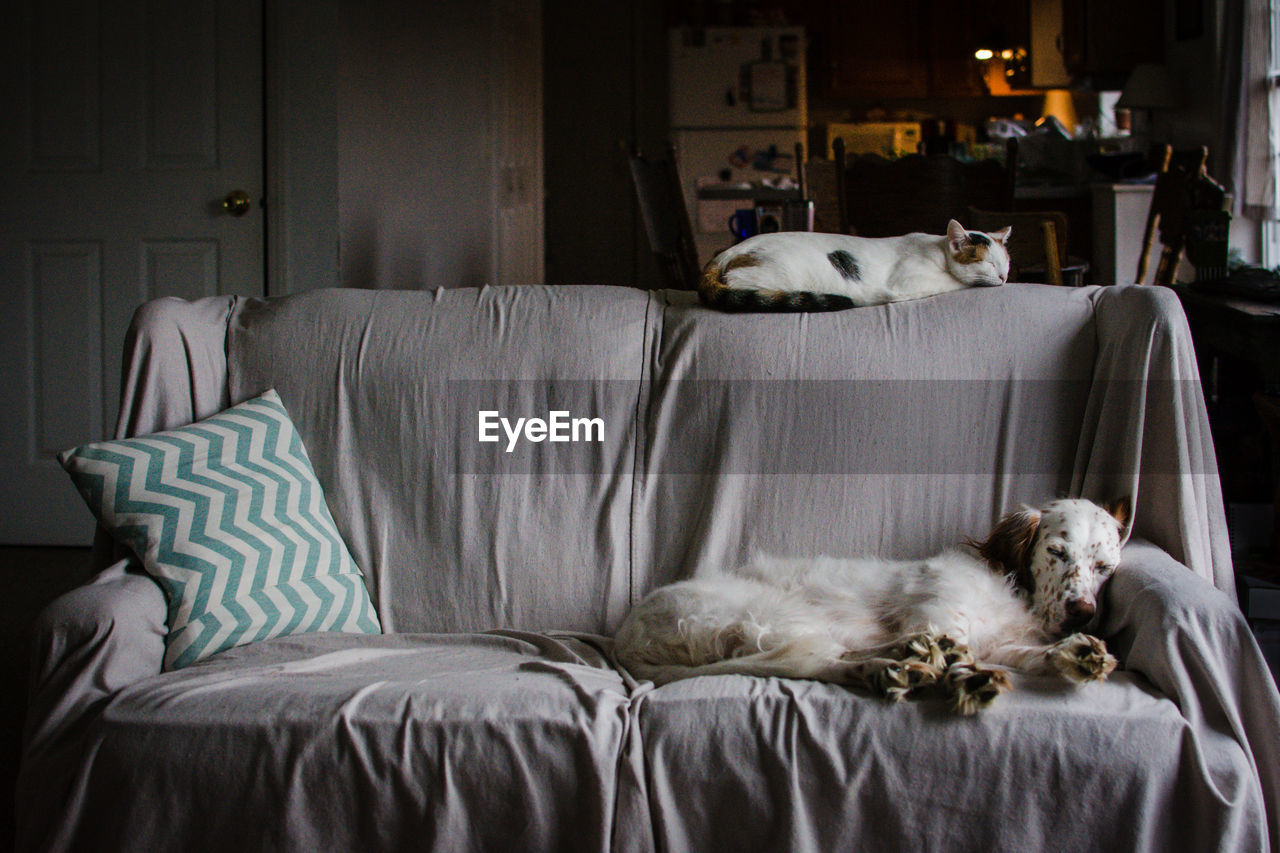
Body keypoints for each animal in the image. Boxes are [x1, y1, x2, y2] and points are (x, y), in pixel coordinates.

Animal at [616, 494, 1131, 712]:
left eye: (1104, 566)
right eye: (1056, 552)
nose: (1082, 613)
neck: (1012, 587)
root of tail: (626, 635)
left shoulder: (1001, 642)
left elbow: (1031, 655)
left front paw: (1078, 654)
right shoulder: (940, 617)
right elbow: (958, 651)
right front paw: (971, 679)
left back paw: (901, 662)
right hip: (775, 614)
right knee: (817, 662)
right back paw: (890, 669)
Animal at [701, 219, 1008, 312]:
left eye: (1006, 263)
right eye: (989, 263)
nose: (1005, 278)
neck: (939, 251)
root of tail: (724, 254)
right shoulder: (906, 282)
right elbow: (955, 282)